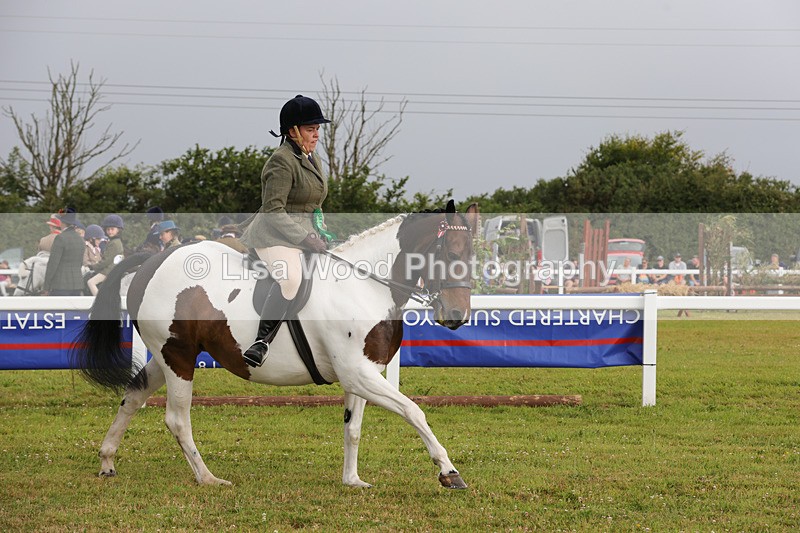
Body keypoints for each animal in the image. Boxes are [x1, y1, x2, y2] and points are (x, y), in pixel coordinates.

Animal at [72, 201, 479, 489]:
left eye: (472, 255)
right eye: (450, 253)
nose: (456, 315)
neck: (364, 284)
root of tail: (153, 260)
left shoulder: (361, 373)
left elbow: (353, 428)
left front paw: (352, 480)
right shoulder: (357, 373)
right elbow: (414, 411)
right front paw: (449, 471)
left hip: (164, 356)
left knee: (132, 396)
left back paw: (107, 461)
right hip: (179, 357)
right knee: (176, 418)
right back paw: (208, 478)